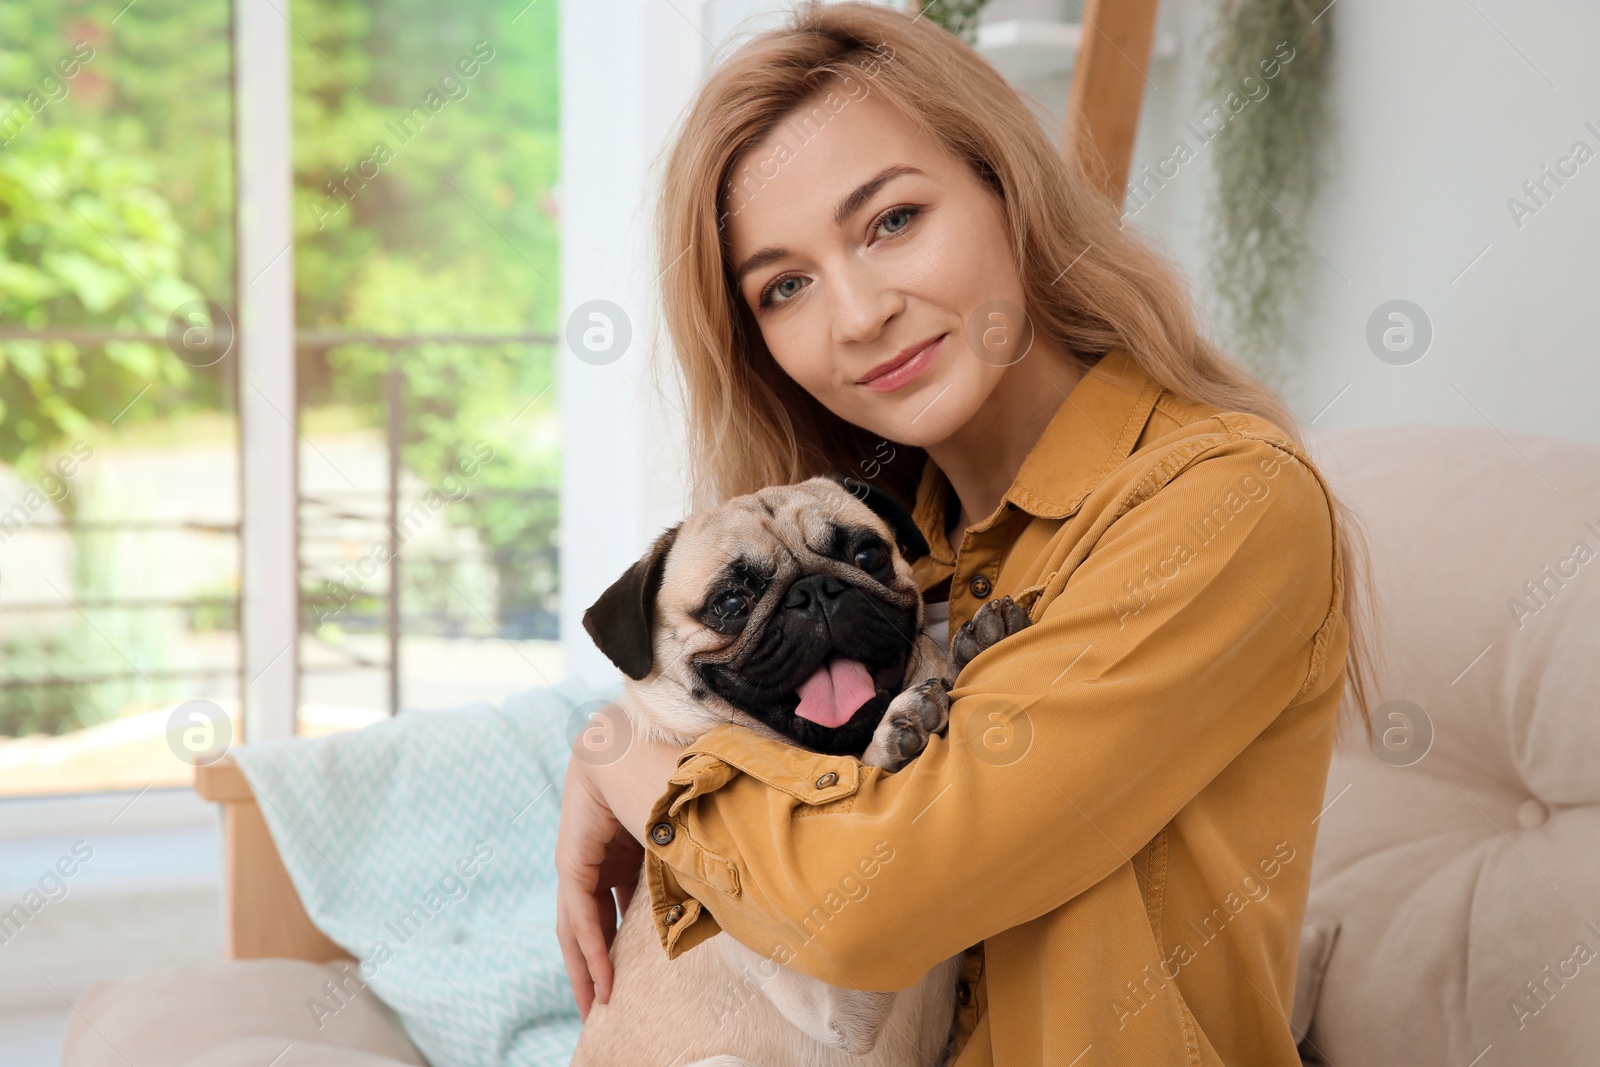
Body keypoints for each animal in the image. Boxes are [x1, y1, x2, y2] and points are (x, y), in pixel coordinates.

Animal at [569, 470, 1030, 1067]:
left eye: (867, 554)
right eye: (730, 603)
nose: (813, 593)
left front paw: (972, 646)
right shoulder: (836, 1000)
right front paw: (901, 731)